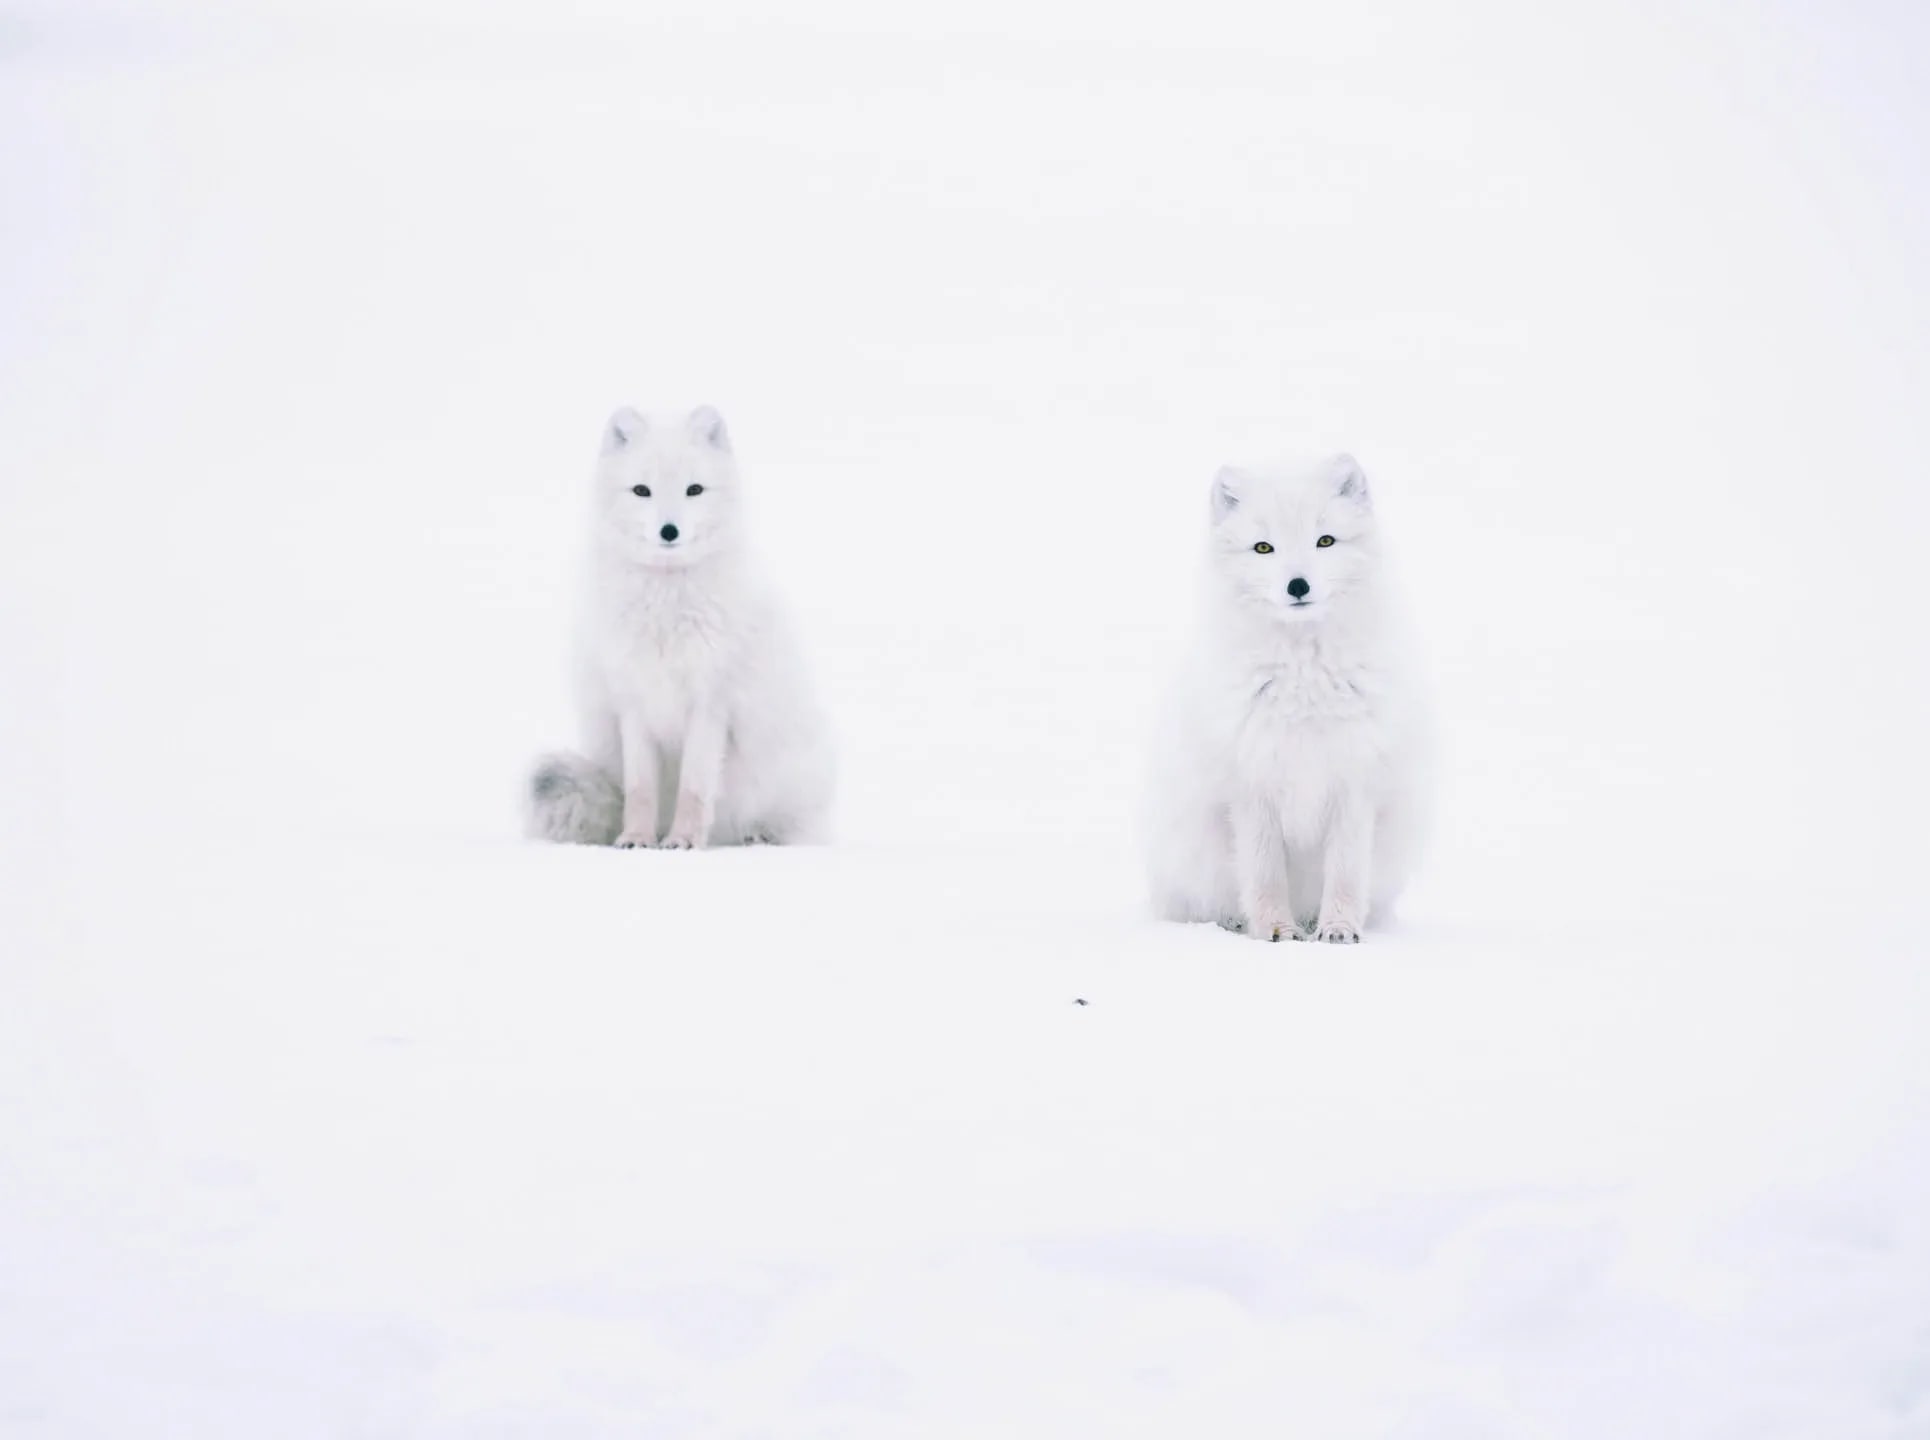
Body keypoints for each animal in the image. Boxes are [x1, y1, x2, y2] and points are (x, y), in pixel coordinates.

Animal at [523, 405, 834, 849]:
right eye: (641, 491)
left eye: (694, 490)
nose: (669, 531)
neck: (666, 606)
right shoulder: (633, 705)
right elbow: (640, 789)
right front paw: (637, 837)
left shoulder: (710, 704)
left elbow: (696, 788)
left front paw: (684, 840)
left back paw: (760, 835)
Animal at [1143, 452, 1431, 942]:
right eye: (1263, 548)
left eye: (1325, 540)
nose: (1298, 585)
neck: (1304, 678)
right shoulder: (1253, 784)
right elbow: (1263, 872)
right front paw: (1276, 929)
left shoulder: (1354, 779)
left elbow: (1346, 872)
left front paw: (1338, 928)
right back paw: (1235, 922)